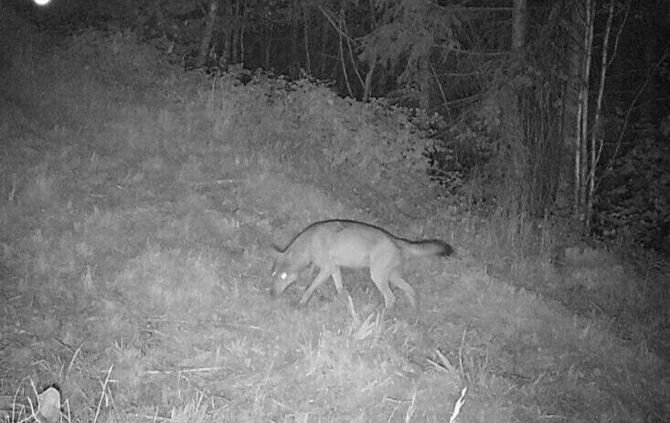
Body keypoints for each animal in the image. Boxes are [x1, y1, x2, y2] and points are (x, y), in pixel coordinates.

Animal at [271, 219, 454, 308]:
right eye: (273, 276)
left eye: (283, 276)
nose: (271, 294)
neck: (309, 243)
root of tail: (396, 239)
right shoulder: (334, 268)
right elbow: (340, 288)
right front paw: (342, 303)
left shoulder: (327, 268)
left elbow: (309, 289)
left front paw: (300, 305)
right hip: (391, 277)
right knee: (410, 290)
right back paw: (413, 313)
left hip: (378, 277)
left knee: (391, 298)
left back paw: (382, 315)